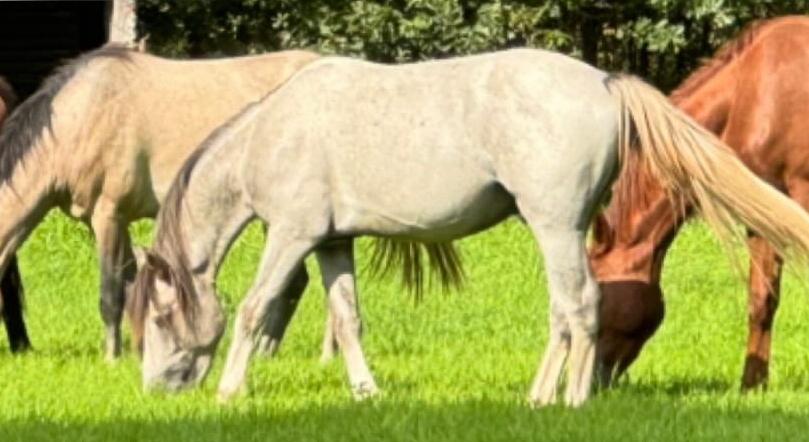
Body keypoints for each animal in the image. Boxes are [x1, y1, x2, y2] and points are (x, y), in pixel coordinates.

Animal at [0, 46, 318, 361]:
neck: (82, 116)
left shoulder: (108, 214)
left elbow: (110, 294)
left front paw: (112, 359)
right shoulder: (110, 220)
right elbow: (131, 284)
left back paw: (266, 351)